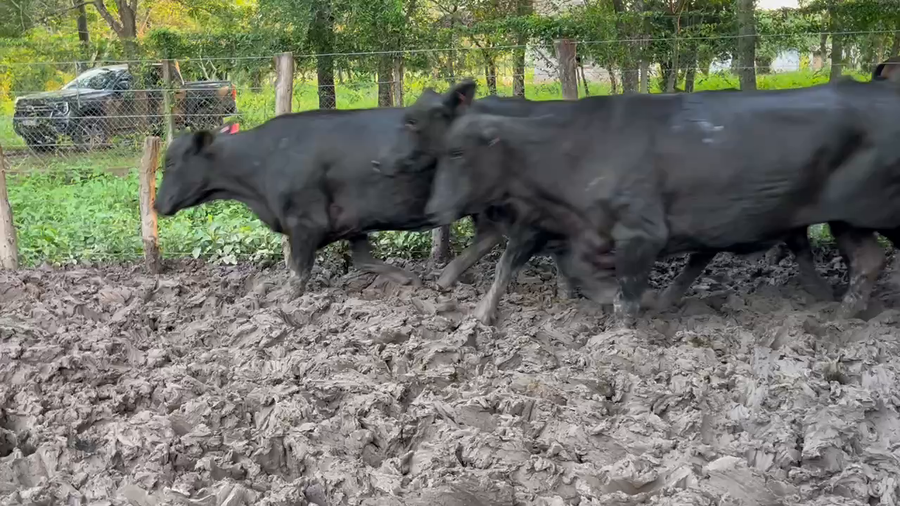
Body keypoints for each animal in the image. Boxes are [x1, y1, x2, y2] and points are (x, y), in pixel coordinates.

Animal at [153, 104, 586, 301]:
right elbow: (363, 260)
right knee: (492, 235)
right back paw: (446, 278)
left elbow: (298, 272)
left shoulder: (305, 223)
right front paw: (408, 280)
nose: (157, 205)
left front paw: (285, 301)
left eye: (171, 162)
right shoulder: (351, 222)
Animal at [419, 78, 900, 326]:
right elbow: (544, 266)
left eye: (456, 152)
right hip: (847, 219)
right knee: (867, 259)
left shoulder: (639, 232)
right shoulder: (565, 230)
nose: (430, 211)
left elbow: (625, 295)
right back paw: (841, 313)